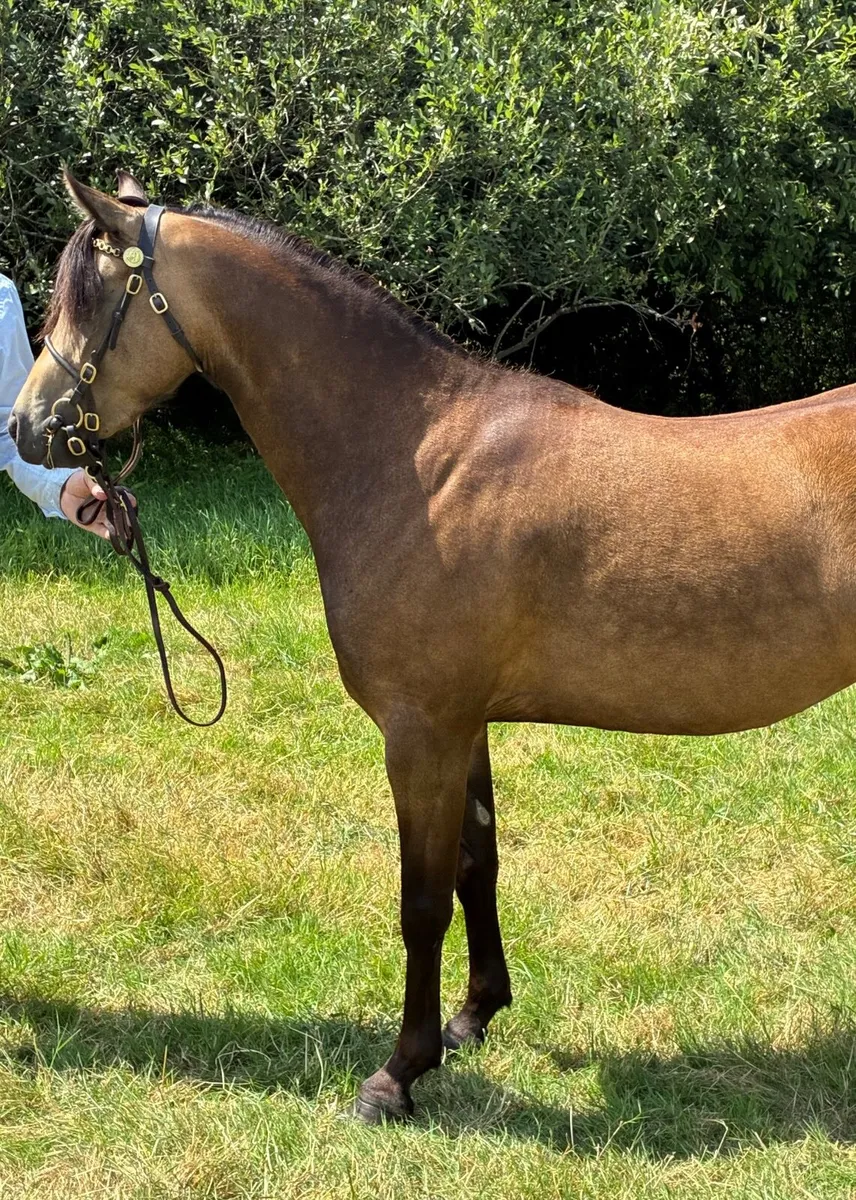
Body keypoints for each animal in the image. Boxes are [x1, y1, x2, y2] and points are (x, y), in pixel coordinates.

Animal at [10, 169, 856, 1123]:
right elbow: (476, 866)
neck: (418, 457)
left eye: (89, 298)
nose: (26, 426)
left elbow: (421, 901)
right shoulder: (466, 725)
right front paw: (473, 1017)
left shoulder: (421, 731)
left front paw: (397, 1075)